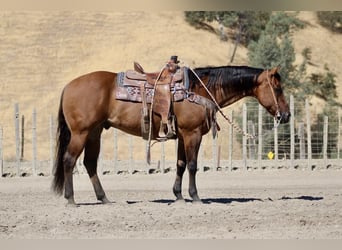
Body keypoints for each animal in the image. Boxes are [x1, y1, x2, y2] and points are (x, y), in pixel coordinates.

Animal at [52, 62, 290, 205]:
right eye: (278, 88)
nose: (286, 115)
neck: (199, 89)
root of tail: (68, 86)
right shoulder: (193, 134)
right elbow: (192, 165)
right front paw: (195, 197)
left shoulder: (183, 136)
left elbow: (181, 165)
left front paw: (178, 196)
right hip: (81, 133)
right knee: (69, 160)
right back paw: (71, 199)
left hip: (94, 133)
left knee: (89, 163)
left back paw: (104, 199)